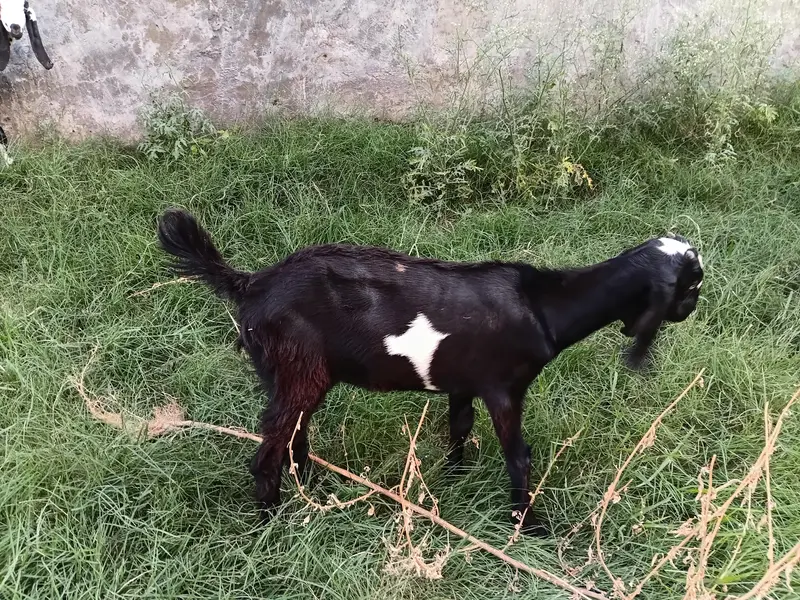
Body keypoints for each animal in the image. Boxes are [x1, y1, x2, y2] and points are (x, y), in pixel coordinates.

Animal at [156, 208, 704, 535]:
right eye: (692, 283)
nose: (691, 310)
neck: (544, 306)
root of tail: (251, 284)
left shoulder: (464, 382)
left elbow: (458, 426)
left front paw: (454, 478)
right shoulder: (504, 386)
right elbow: (518, 455)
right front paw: (527, 525)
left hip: (288, 374)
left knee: (291, 433)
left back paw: (307, 485)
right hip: (299, 369)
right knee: (272, 445)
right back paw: (271, 519)